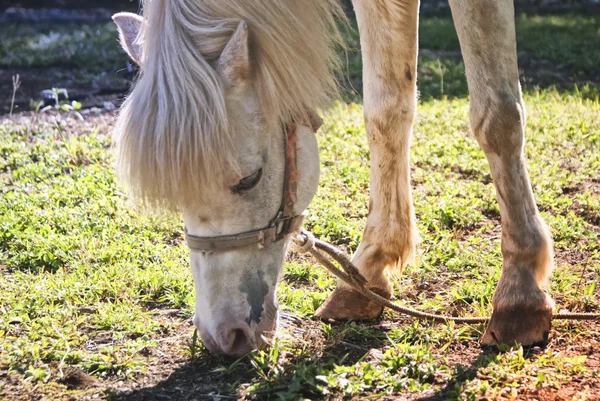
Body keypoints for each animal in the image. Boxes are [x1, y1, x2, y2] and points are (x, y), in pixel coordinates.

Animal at [111, 0, 552, 356]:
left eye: (250, 179)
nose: (224, 335)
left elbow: (497, 117)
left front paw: (519, 292)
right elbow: (385, 111)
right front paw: (368, 269)